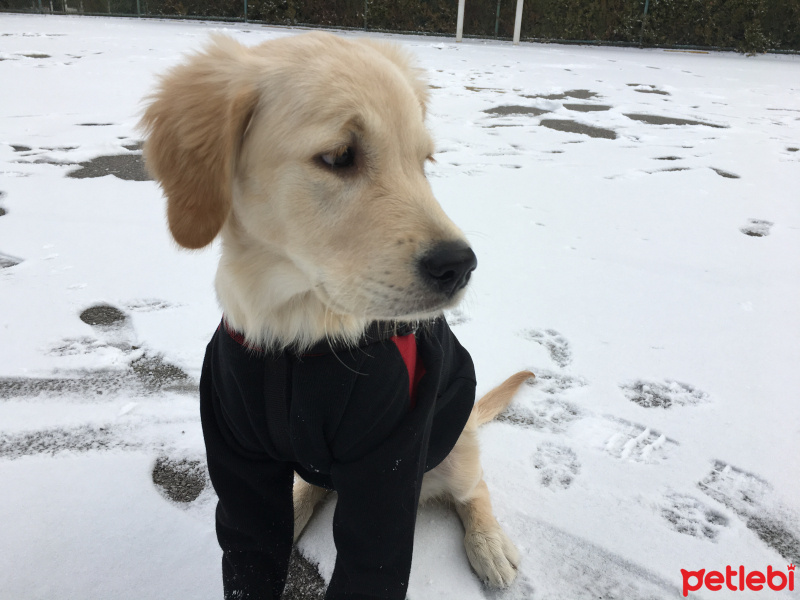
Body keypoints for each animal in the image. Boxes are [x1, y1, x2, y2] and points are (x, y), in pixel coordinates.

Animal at [142, 34, 532, 600]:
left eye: (424, 161)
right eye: (339, 156)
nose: (460, 266)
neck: (296, 336)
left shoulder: (389, 464)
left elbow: (372, 562)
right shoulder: (238, 458)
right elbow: (248, 551)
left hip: (453, 446)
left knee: (473, 486)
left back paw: (489, 545)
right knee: (311, 487)